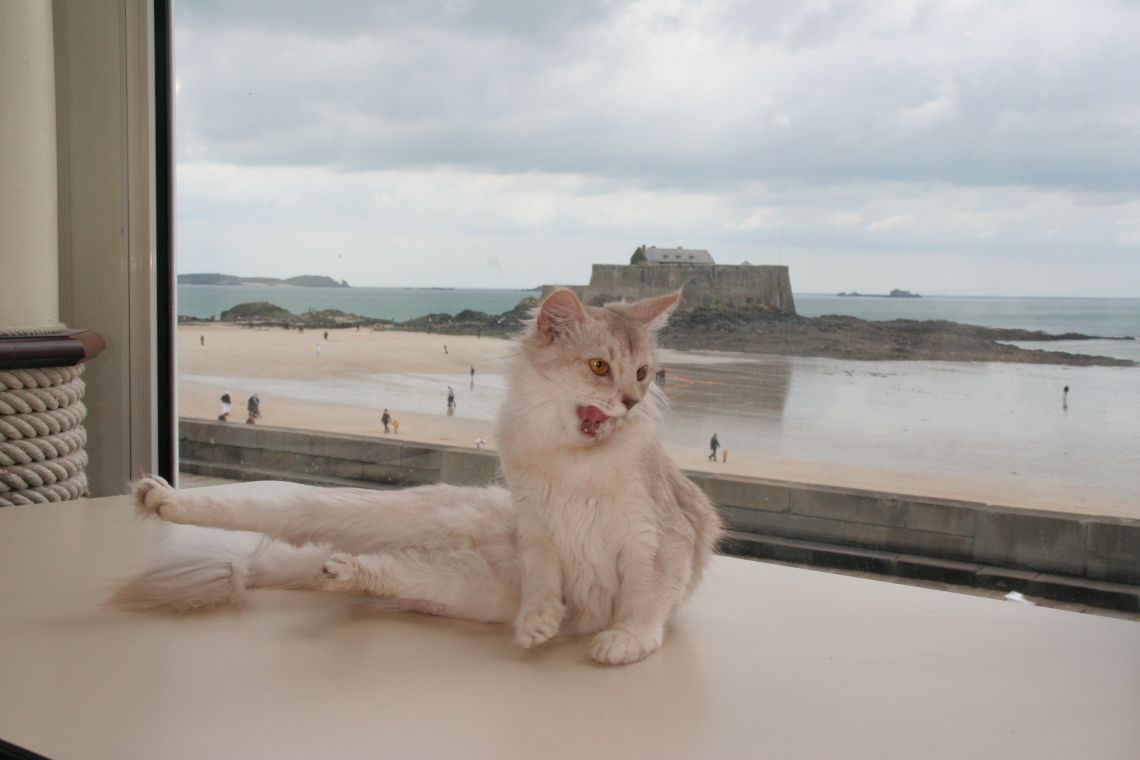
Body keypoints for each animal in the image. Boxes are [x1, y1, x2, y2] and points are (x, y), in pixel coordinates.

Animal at [114, 288, 723, 665]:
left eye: (643, 372)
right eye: (599, 367)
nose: (631, 401)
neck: (568, 458)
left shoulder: (660, 537)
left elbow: (645, 600)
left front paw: (622, 640)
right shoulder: (538, 530)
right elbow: (546, 583)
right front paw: (540, 623)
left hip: (445, 583)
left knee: (371, 569)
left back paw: (341, 572)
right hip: (367, 511)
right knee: (268, 512)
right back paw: (159, 498)